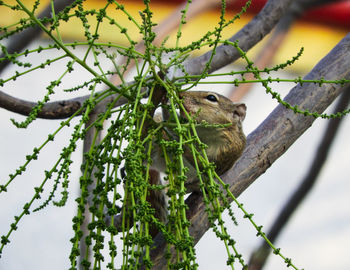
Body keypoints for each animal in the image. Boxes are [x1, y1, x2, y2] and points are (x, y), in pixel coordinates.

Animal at [147, 90, 246, 228]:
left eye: (211, 98)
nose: (181, 94)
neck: (206, 133)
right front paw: (166, 100)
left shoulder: (226, 154)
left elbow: (200, 164)